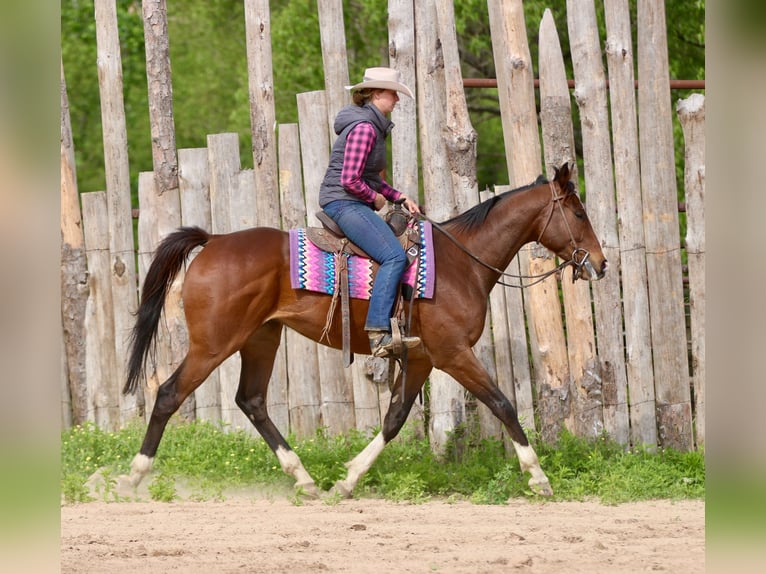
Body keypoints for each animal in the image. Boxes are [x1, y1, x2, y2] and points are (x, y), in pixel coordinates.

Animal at [121, 163, 607, 498]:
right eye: (579, 212)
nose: (600, 264)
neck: (462, 263)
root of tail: (214, 240)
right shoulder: (453, 354)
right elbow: (503, 404)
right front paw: (539, 477)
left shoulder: (422, 358)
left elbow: (394, 420)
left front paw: (347, 480)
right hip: (213, 344)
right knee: (169, 394)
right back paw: (134, 475)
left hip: (261, 338)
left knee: (252, 401)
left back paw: (306, 480)